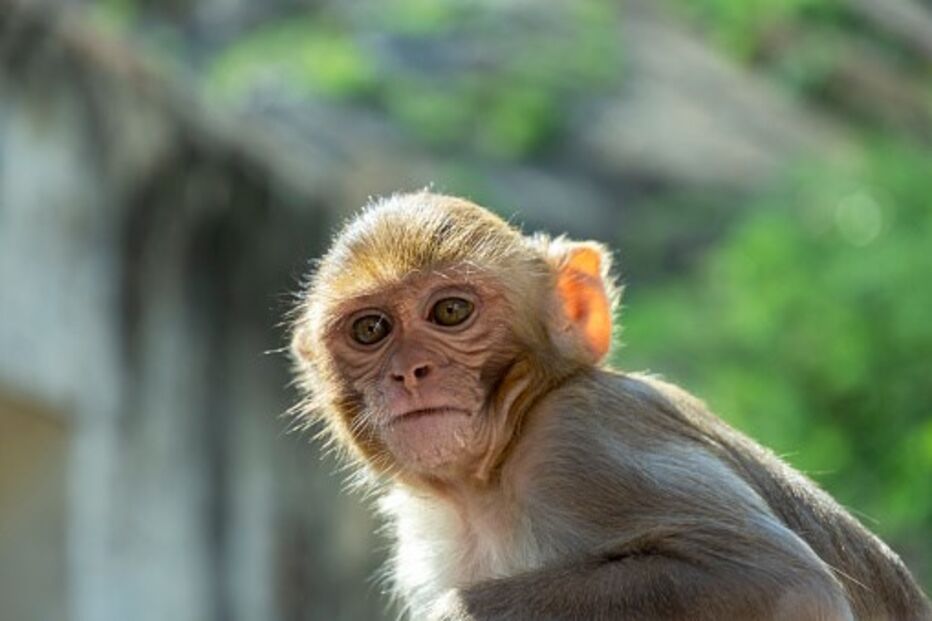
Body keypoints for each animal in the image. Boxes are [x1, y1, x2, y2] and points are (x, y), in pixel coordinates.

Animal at [290, 191, 931, 621]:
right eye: (371, 329)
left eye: (450, 311)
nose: (410, 372)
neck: (487, 482)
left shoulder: (583, 441)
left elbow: (784, 582)